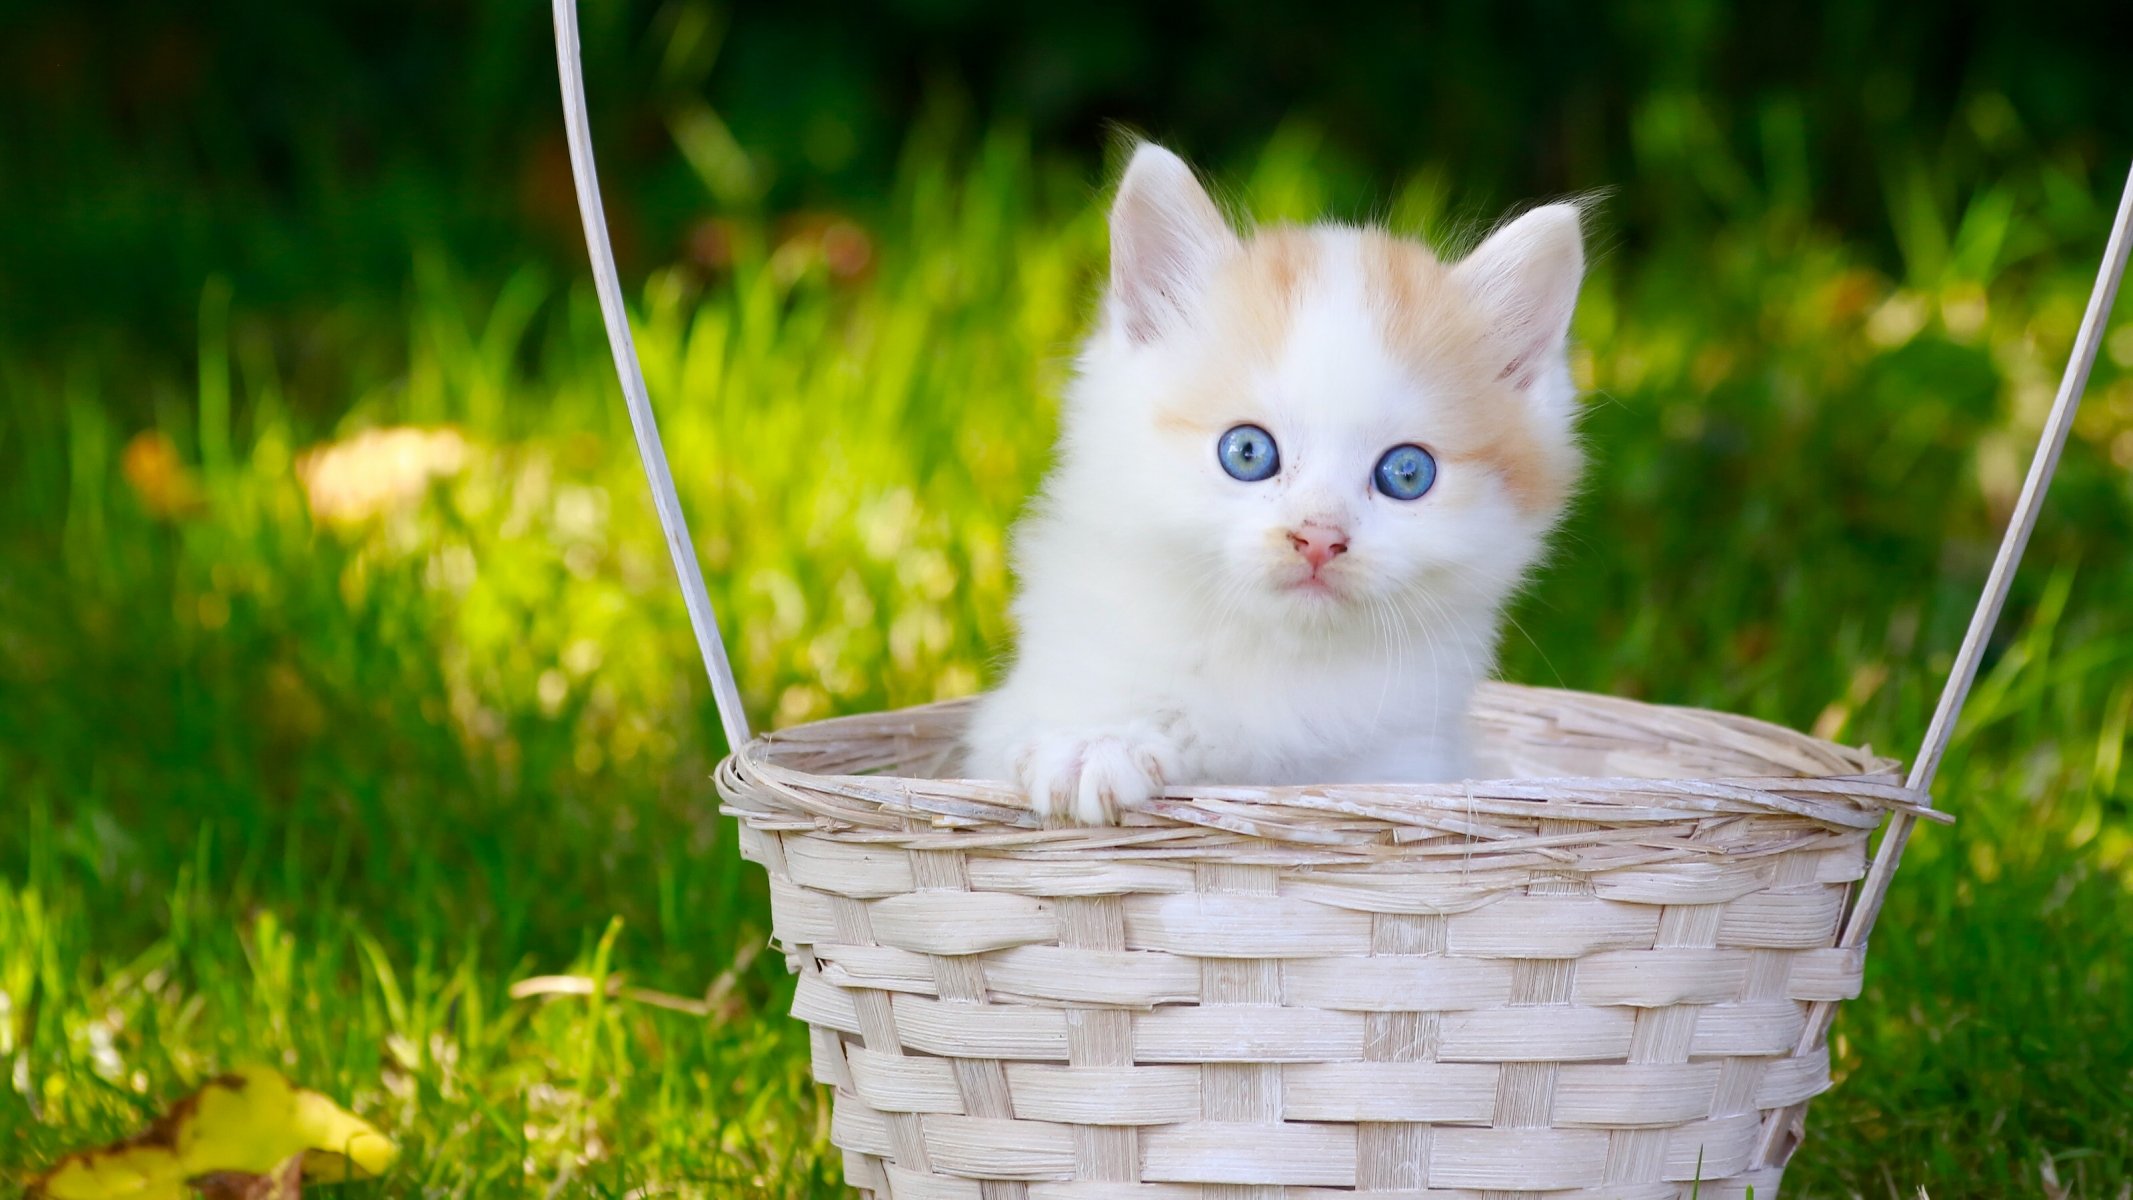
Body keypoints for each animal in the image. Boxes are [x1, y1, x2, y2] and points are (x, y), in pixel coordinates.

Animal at [968, 142, 1586, 826]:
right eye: (1247, 453)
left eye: (1407, 474)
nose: (1318, 537)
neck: (1272, 661)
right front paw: (1093, 745)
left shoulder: (1415, 759)